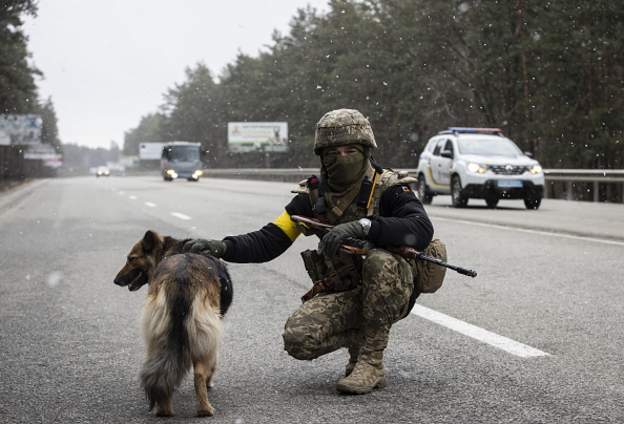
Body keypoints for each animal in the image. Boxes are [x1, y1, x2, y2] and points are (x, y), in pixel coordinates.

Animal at [113, 230, 233, 416]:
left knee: (160, 370)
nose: (116, 281)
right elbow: (213, 363)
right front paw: (209, 382)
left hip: (157, 337)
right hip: (204, 338)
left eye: (131, 258)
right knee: (199, 374)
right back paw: (205, 409)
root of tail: (181, 277)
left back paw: (164, 409)